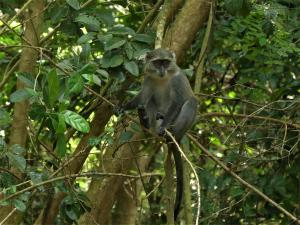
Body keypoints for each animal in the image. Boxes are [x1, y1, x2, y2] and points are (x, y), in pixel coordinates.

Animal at [116, 48, 197, 220]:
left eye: (165, 62)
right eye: (157, 62)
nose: (161, 70)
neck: (163, 79)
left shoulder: (177, 80)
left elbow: (178, 103)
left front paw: (165, 126)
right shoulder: (148, 79)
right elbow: (142, 97)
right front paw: (123, 107)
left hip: (180, 124)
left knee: (191, 102)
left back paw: (169, 133)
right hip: (154, 119)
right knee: (149, 102)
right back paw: (145, 122)